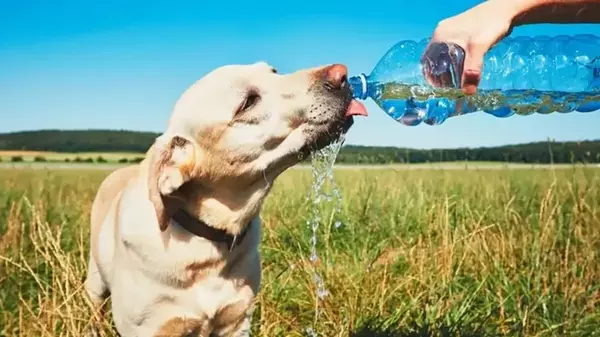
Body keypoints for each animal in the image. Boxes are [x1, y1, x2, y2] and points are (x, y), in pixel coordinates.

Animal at [83, 61, 366, 334]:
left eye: (273, 71)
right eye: (248, 102)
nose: (342, 74)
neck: (207, 242)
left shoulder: (238, 321)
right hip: (95, 282)